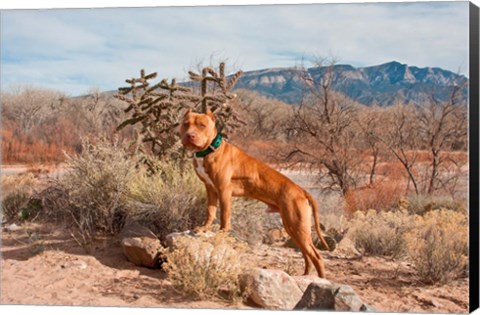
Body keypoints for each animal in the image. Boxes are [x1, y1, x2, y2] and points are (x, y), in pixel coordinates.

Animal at [180, 110, 330, 278]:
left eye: (202, 125)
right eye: (186, 124)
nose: (190, 135)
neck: (210, 149)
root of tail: (302, 191)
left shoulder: (224, 190)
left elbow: (224, 216)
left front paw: (221, 234)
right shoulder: (210, 189)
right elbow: (210, 211)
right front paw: (204, 228)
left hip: (298, 227)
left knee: (316, 257)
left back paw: (320, 280)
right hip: (292, 228)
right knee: (307, 255)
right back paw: (305, 276)